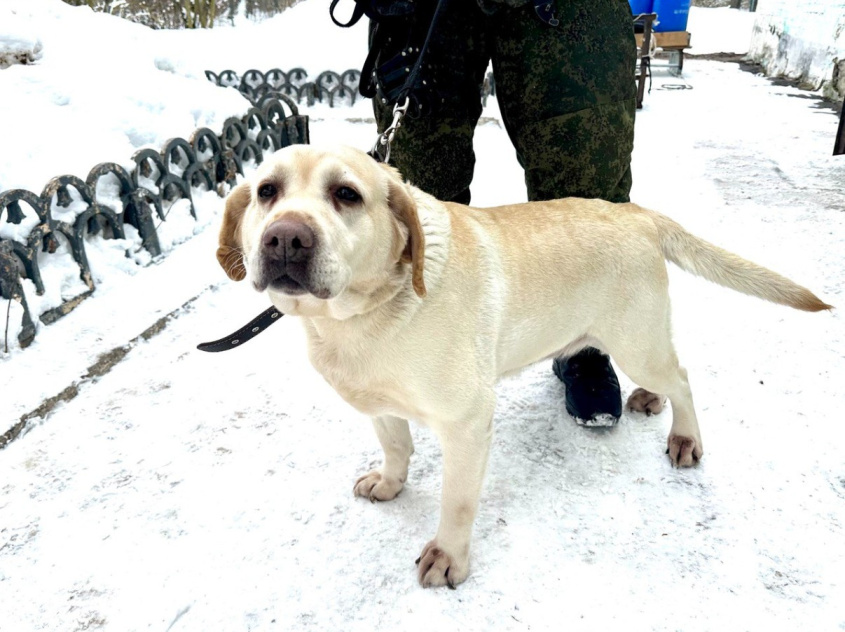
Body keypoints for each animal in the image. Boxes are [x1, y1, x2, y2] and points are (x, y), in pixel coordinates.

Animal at [218, 143, 832, 588]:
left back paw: (684, 436)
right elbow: (396, 446)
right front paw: (390, 482)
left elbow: (457, 501)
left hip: (636, 342)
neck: (361, 316)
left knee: (682, 377)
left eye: (346, 194)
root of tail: (634, 212)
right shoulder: (380, 404)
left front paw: (449, 556)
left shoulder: (466, 424)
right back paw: (649, 401)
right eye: (266, 192)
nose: (285, 238)